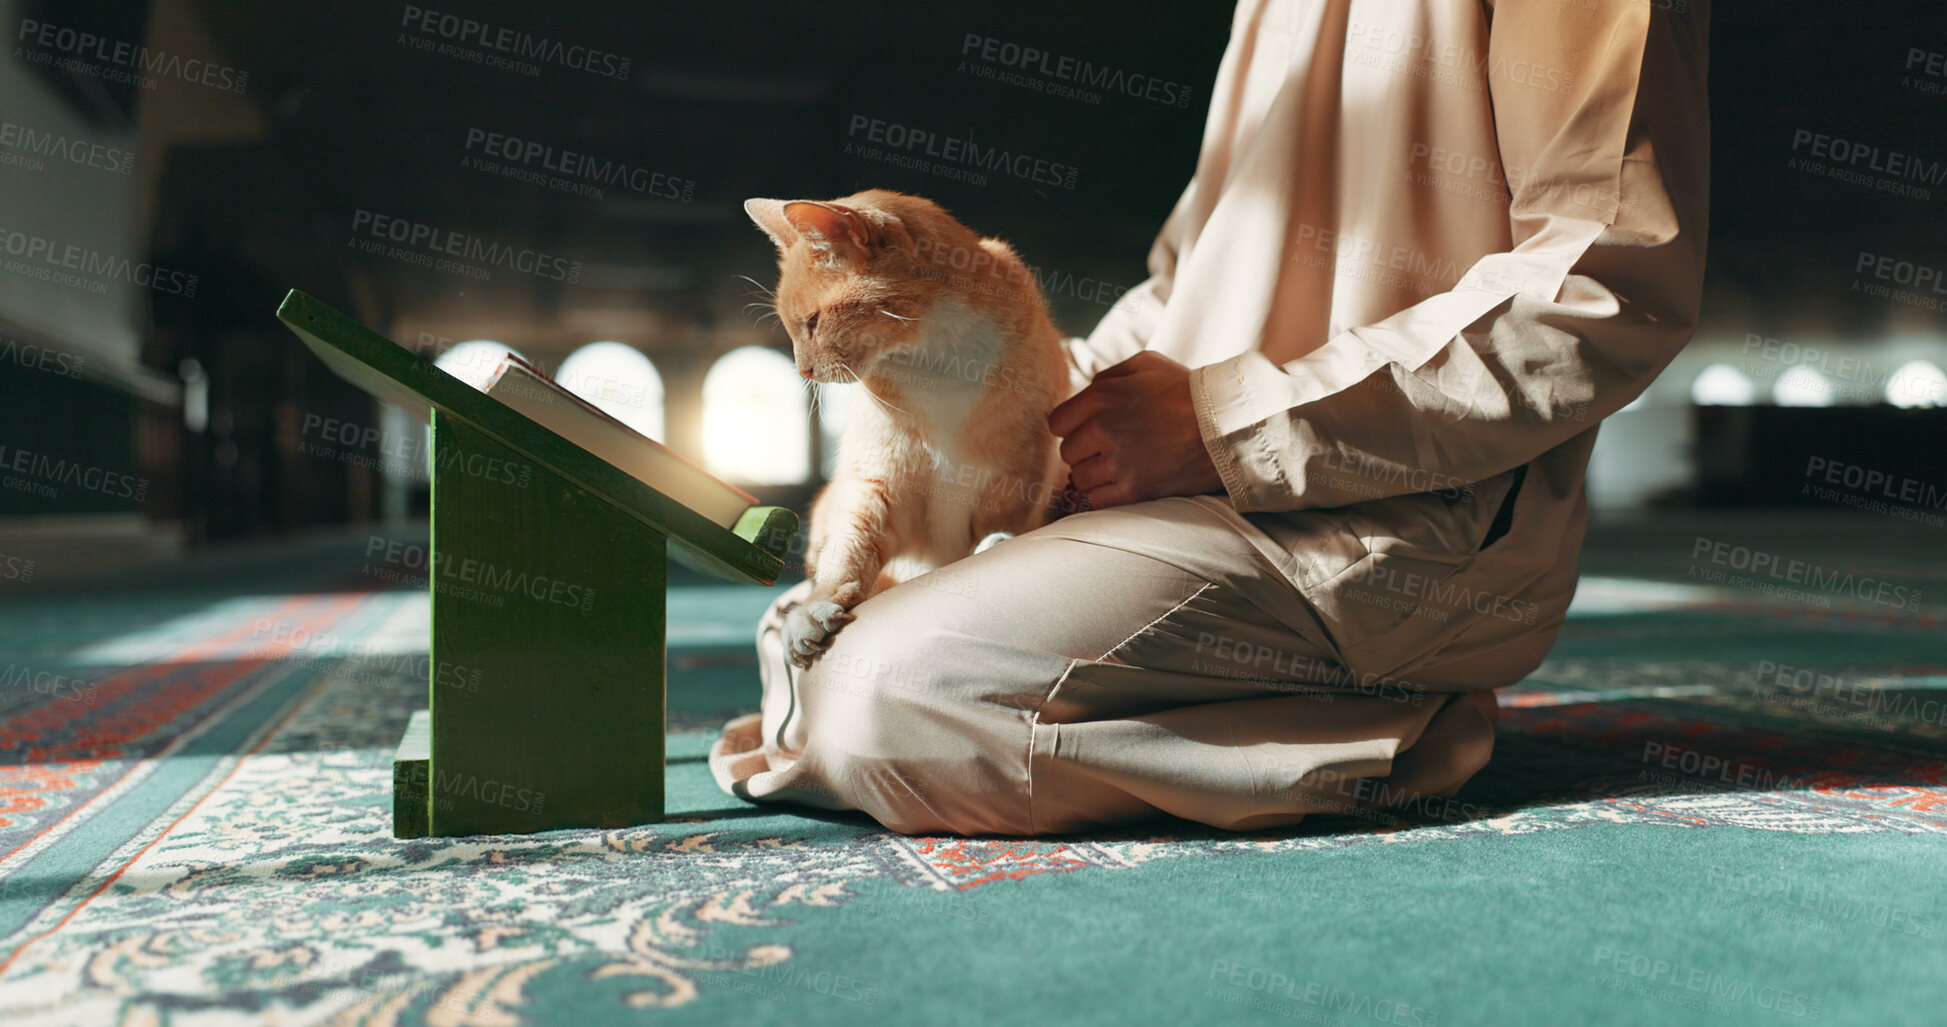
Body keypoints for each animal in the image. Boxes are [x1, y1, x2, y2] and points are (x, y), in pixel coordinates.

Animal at [751, 190, 1074, 666]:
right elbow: (848, 550)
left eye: (812, 322)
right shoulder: (877, 484)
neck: (933, 362)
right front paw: (812, 611)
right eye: (793, 328)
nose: (802, 370)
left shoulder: (1022, 465)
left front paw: (996, 544)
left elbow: (1005, 518)